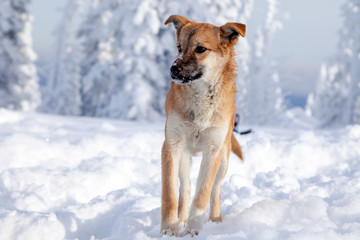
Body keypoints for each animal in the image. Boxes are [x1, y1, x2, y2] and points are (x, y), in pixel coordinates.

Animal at [162, 15, 246, 236]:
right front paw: (169, 229)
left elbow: (203, 195)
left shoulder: (212, 150)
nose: (173, 69)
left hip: (223, 159)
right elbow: (170, 194)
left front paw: (193, 230)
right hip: (184, 158)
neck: (200, 100)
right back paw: (181, 219)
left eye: (200, 49)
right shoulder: (171, 146)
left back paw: (215, 221)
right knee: (185, 189)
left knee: (215, 190)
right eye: (179, 47)